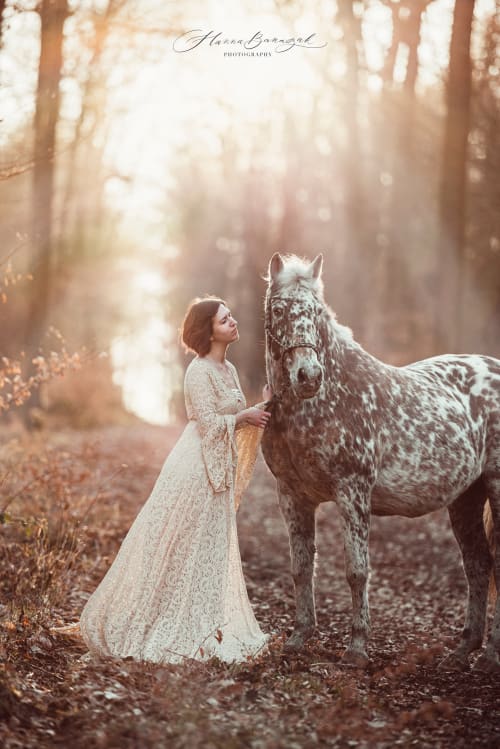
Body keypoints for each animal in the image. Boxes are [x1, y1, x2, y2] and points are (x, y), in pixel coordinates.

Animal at [261, 252, 499, 672]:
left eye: (317, 312)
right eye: (278, 309)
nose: (308, 376)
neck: (327, 400)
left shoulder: (353, 491)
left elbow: (357, 572)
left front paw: (356, 649)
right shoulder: (291, 495)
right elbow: (301, 567)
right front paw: (298, 638)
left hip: (497, 486)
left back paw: (489, 657)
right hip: (466, 498)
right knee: (478, 564)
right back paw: (463, 650)